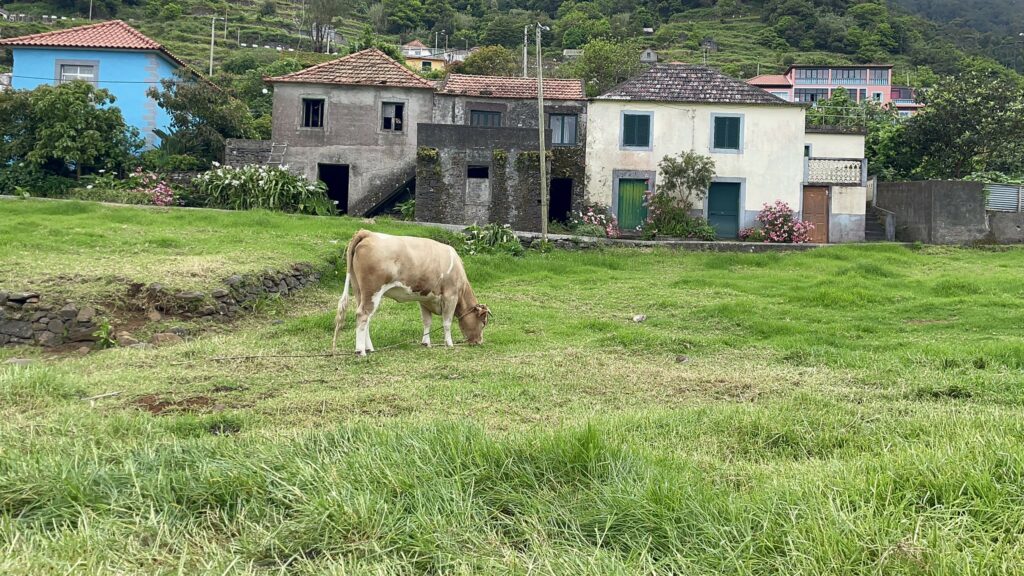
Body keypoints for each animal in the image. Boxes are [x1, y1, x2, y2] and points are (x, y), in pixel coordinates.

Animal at [327, 228, 487, 354]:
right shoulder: (450, 296)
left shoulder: (425, 299)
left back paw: (369, 348)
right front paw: (449, 344)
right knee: (362, 315)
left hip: (359, 291)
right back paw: (360, 351)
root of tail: (368, 233)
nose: (479, 342)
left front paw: (426, 342)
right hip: (372, 290)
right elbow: (447, 322)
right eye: (483, 322)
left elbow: (427, 321)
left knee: (366, 319)